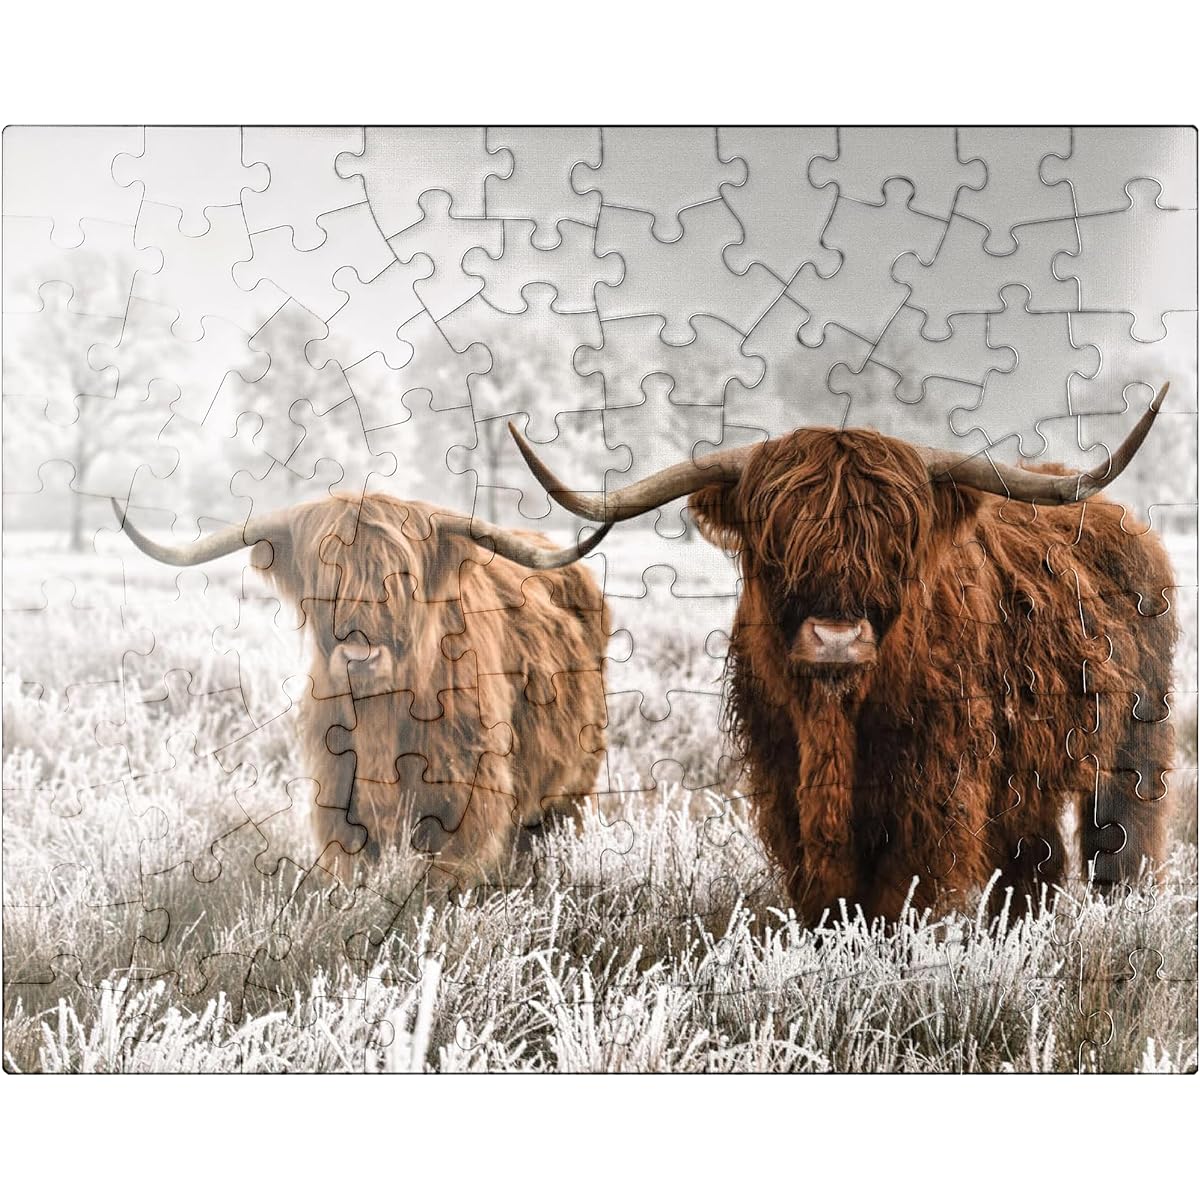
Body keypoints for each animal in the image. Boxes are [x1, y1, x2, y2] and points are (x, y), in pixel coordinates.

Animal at [114, 493, 611, 888]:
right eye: (325, 579)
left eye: (403, 579)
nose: (360, 657)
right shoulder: (339, 808)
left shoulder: (467, 808)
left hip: (572, 790)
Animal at [482, 385, 1178, 923]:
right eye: (775, 545)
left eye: (897, 546)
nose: (837, 639)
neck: (836, 719)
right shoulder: (784, 784)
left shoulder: (936, 794)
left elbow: (907, 898)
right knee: (1035, 863)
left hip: (1135, 743)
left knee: (1121, 841)